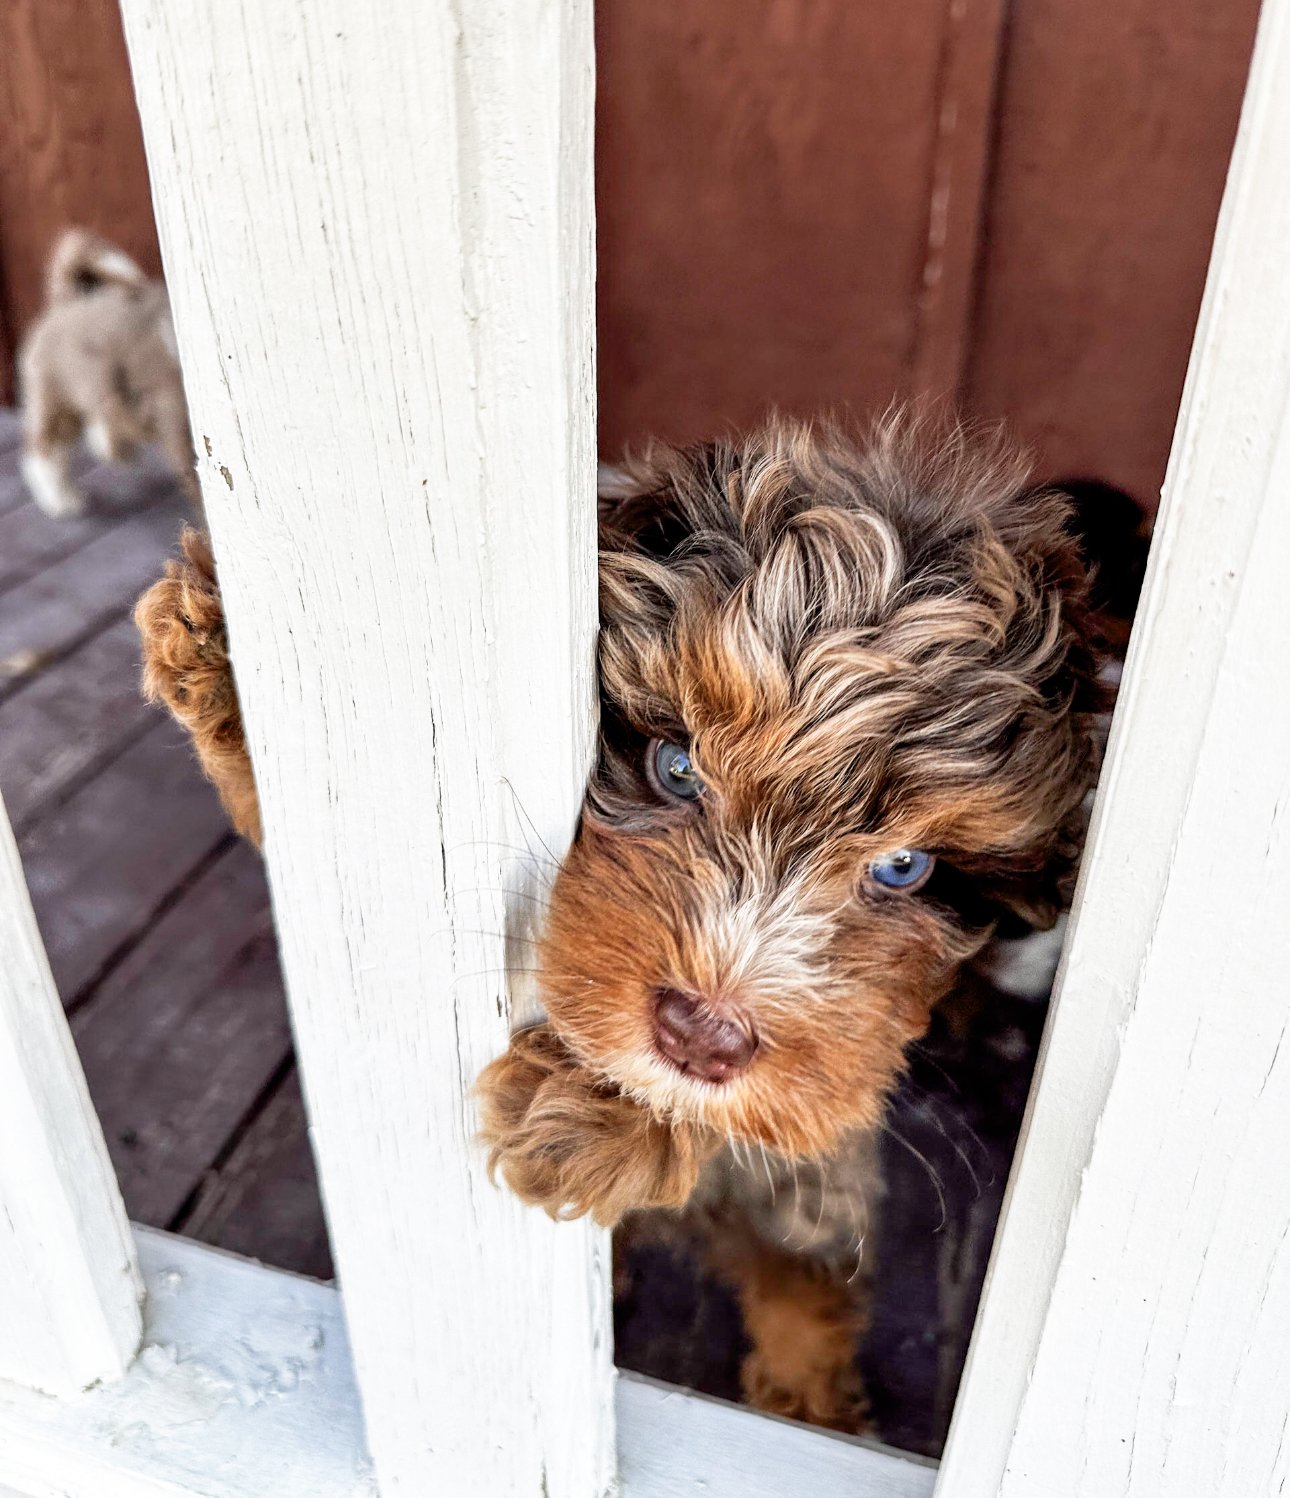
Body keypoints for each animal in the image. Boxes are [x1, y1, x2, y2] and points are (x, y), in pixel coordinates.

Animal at [138, 416, 1108, 1432]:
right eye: (675, 767)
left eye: (904, 868)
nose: (703, 1033)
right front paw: (233, 666)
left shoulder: (821, 1115)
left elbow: (787, 1117)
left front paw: (593, 1124)